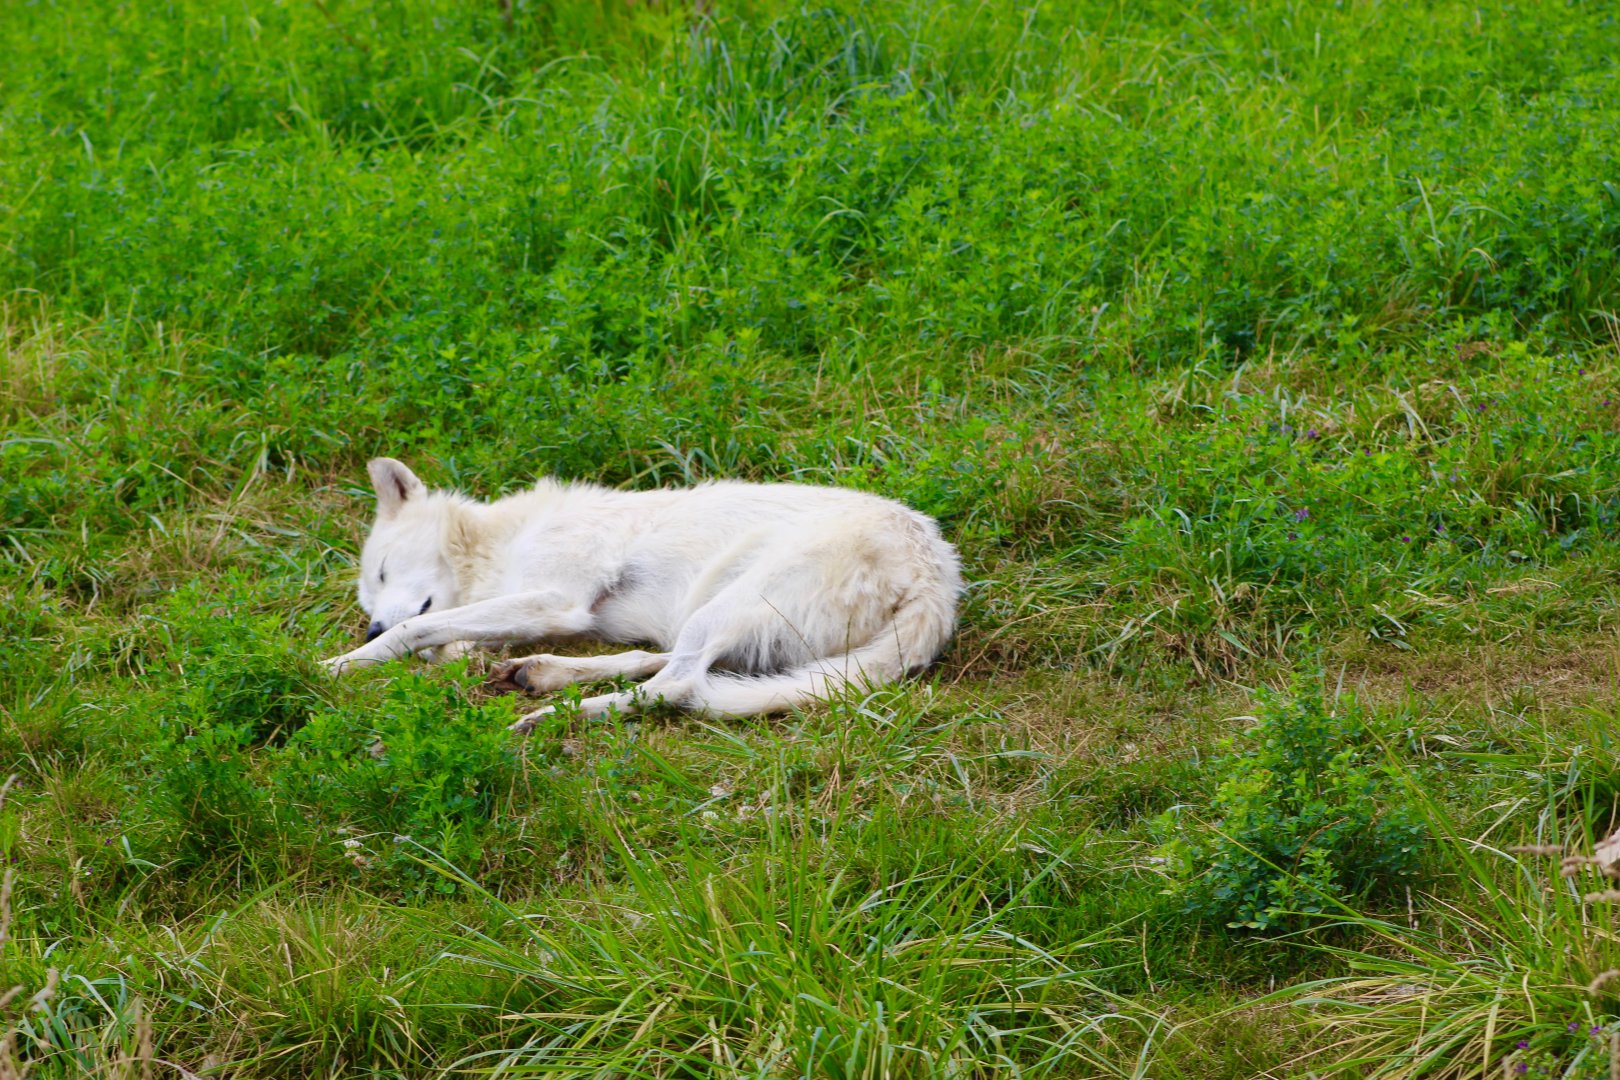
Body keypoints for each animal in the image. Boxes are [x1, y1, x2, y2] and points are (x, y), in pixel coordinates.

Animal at [323, 459, 962, 728]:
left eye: (382, 571)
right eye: (368, 595)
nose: (370, 625)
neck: (500, 542)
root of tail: (937, 577)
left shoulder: (555, 599)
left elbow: (419, 627)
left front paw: (339, 664)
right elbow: (443, 637)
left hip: (727, 606)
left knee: (678, 685)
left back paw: (551, 717)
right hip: (718, 617)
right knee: (663, 664)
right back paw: (544, 674)